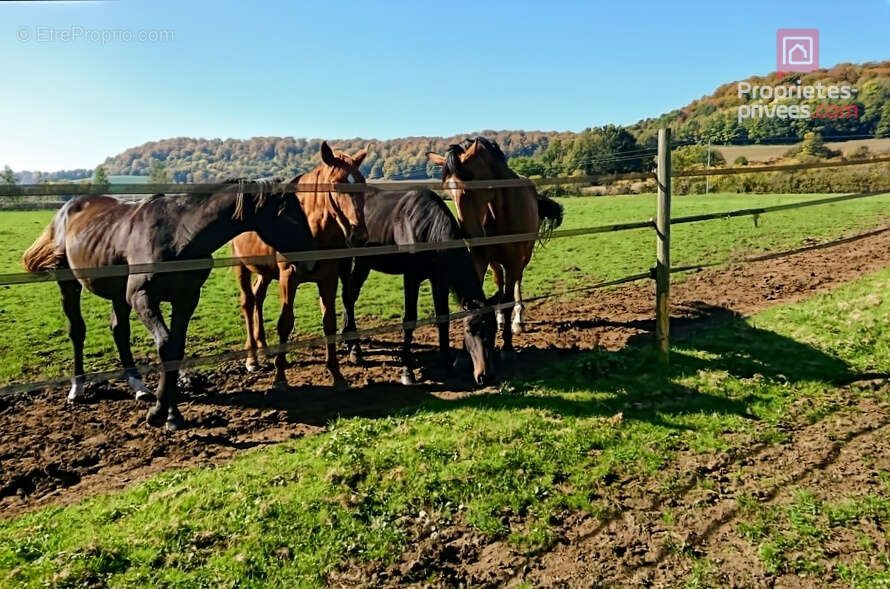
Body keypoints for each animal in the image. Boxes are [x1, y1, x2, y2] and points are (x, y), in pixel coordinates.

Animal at [21, 177, 316, 430]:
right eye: (290, 215)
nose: (310, 260)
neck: (178, 235)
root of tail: (67, 209)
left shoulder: (185, 299)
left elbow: (176, 350)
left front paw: (171, 415)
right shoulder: (142, 297)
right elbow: (165, 346)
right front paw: (158, 413)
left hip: (118, 293)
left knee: (119, 330)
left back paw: (139, 387)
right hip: (70, 284)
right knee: (77, 331)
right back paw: (77, 389)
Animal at [231, 142, 370, 390]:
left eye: (363, 184)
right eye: (335, 185)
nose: (359, 236)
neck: (308, 228)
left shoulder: (328, 278)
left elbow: (329, 322)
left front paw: (337, 375)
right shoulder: (288, 278)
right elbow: (285, 323)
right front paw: (280, 378)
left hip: (265, 272)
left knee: (258, 296)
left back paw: (263, 345)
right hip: (241, 266)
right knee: (248, 302)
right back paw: (252, 358)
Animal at [338, 188, 496, 386]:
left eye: (494, 330)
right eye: (469, 330)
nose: (485, 376)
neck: (426, 231)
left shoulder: (439, 281)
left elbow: (443, 319)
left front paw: (447, 365)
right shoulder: (411, 278)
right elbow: (410, 320)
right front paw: (407, 371)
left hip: (363, 263)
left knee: (349, 296)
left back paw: (348, 340)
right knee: (349, 297)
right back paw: (355, 350)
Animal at [424, 138, 560, 358]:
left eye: (470, 187)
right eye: (448, 192)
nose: (468, 235)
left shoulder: (514, 261)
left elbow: (508, 300)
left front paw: (507, 346)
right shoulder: (479, 260)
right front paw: (465, 352)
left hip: (524, 257)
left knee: (515, 285)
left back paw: (517, 321)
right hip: (495, 262)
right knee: (499, 282)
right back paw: (499, 318)